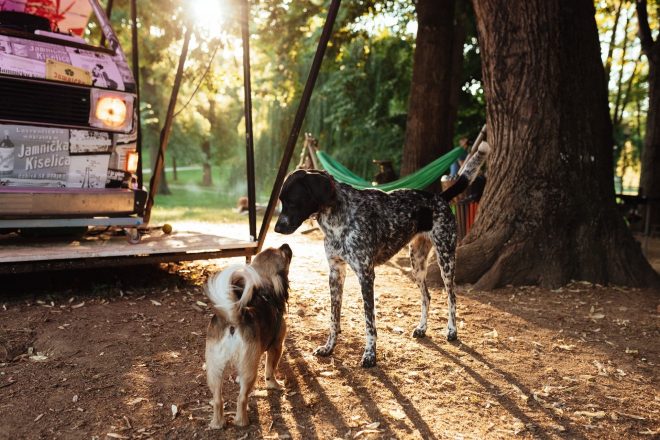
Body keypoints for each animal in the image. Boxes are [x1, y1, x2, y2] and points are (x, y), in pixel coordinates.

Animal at [204, 242, 292, 428]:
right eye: (284, 254)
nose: (285, 244)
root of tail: (233, 318)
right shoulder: (276, 347)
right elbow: (270, 370)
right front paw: (274, 384)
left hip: (214, 370)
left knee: (218, 400)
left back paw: (217, 423)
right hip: (250, 369)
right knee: (241, 398)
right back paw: (241, 421)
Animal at [274, 143, 490, 366]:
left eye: (292, 201)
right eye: (281, 200)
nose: (276, 228)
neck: (337, 219)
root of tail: (440, 197)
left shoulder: (366, 275)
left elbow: (369, 321)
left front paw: (370, 354)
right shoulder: (335, 273)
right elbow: (334, 318)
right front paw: (329, 347)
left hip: (445, 259)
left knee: (451, 297)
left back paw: (452, 331)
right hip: (417, 263)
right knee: (427, 296)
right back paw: (422, 328)